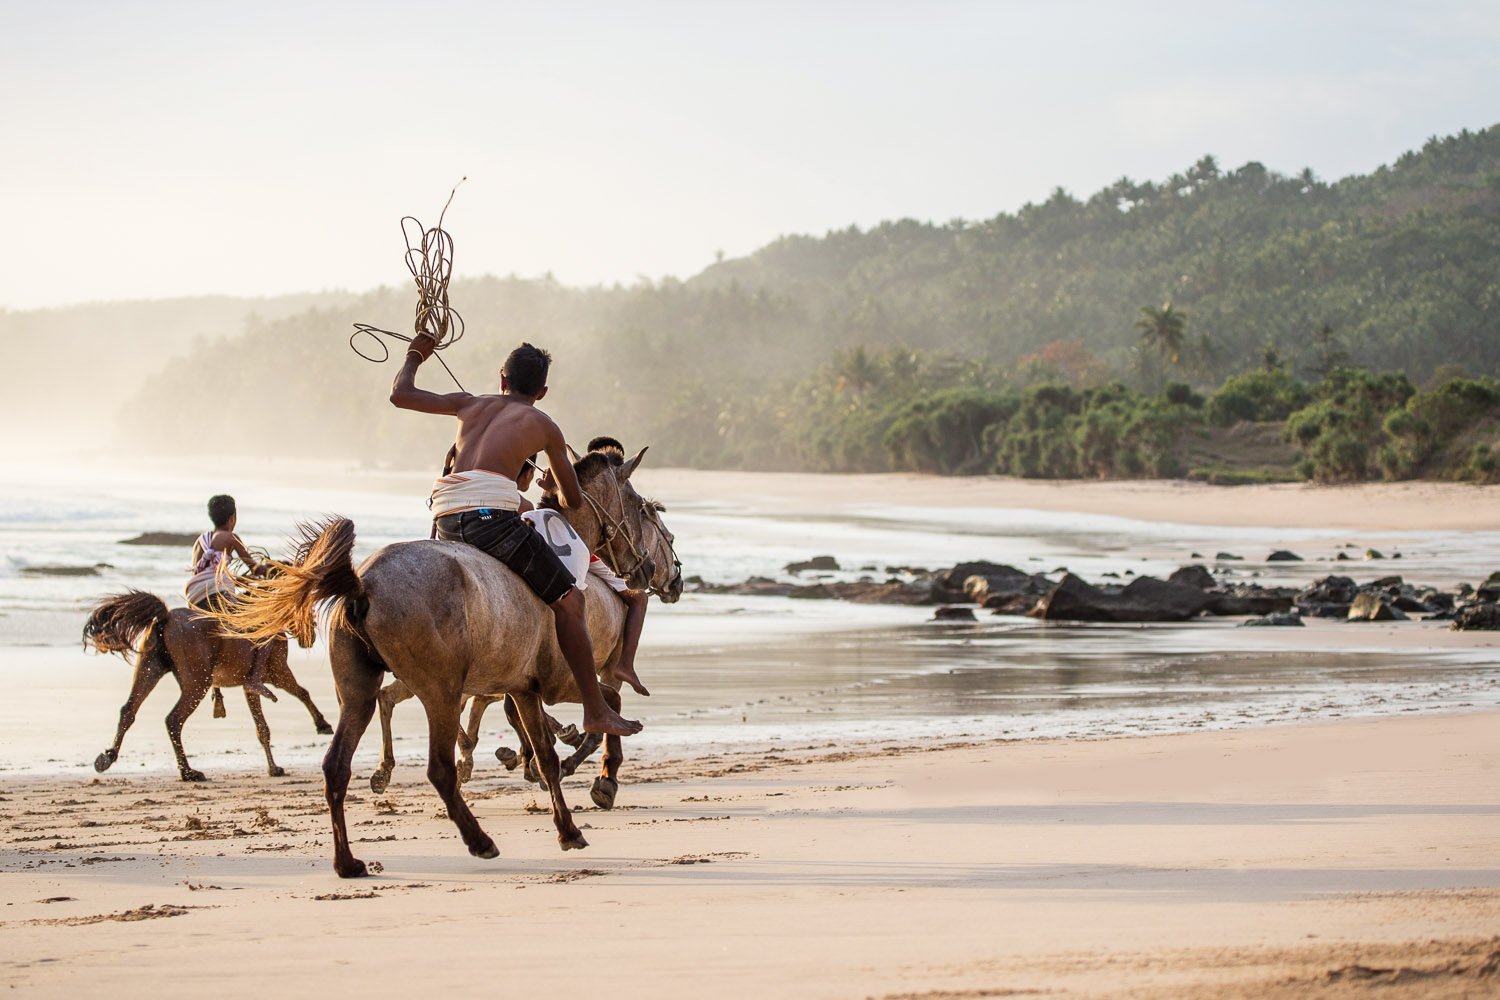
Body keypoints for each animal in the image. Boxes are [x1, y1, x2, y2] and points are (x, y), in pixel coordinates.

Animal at [80, 587, 333, 779]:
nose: (310, 637)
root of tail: (166, 618)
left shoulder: (250, 688)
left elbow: (262, 727)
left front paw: (273, 768)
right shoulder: (279, 672)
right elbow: (303, 692)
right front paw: (322, 724)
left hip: (149, 670)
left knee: (129, 711)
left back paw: (108, 757)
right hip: (197, 683)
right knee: (173, 720)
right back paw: (188, 772)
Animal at [219, 449, 684, 881]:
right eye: (640, 505)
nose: (651, 570)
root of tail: (362, 584)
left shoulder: (523, 688)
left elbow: (547, 757)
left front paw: (567, 825)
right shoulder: (556, 682)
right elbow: (598, 712)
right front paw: (600, 777)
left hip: (357, 693)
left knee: (337, 765)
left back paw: (348, 861)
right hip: (439, 693)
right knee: (438, 768)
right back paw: (478, 839)